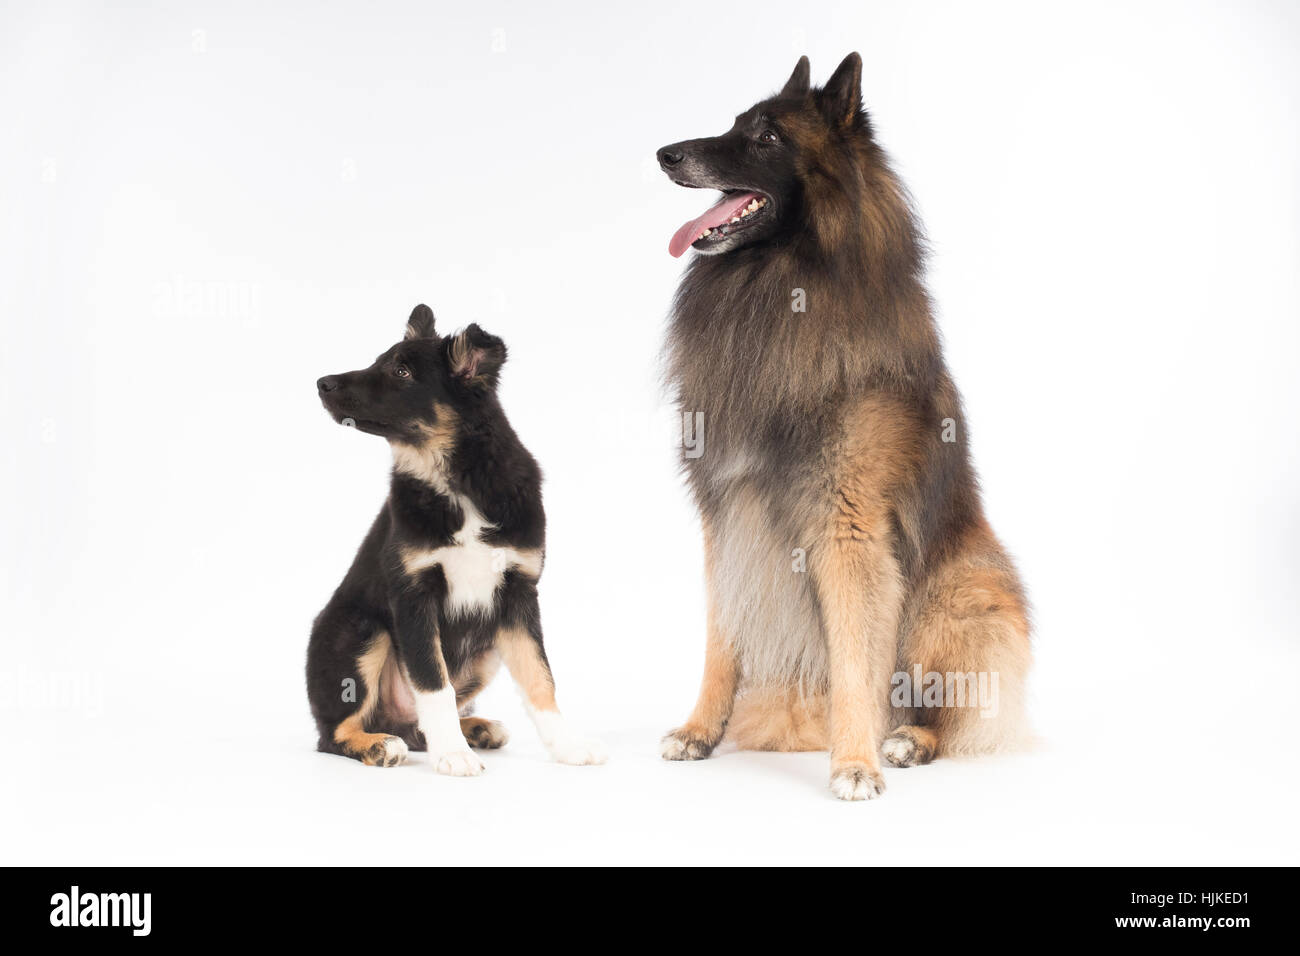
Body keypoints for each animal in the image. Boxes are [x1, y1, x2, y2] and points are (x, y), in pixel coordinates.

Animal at [306, 306, 605, 780]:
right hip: (362, 631)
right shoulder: (413, 594)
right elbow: (433, 680)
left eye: (402, 371)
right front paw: (452, 753)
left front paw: (568, 746)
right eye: (382, 361)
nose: (322, 383)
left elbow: (540, 678)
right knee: (335, 733)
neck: (458, 481)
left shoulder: (519, 593)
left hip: (487, 649)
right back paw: (379, 744)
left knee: (413, 726)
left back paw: (476, 727)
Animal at [655, 54, 1029, 801]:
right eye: (733, 125)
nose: (666, 154)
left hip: (961, 592)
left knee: (948, 708)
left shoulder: (848, 527)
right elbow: (721, 637)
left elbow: (858, 656)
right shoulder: (726, 518)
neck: (777, 290)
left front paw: (855, 762)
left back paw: (907, 740)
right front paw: (701, 730)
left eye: (768, 137)